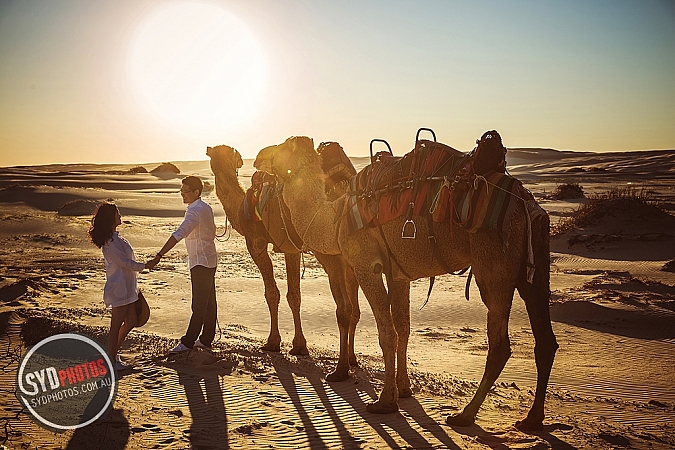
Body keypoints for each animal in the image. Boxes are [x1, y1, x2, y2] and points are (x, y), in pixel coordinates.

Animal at [207, 145, 362, 376]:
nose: (240, 160)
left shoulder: (256, 242)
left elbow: (273, 293)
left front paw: (274, 342)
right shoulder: (291, 248)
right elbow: (294, 295)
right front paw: (299, 345)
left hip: (329, 251)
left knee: (346, 306)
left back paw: (341, 369)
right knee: (356, 308)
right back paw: (351, 359)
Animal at [254, 135, 560, 430]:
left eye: (282, 147)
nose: (258, 158)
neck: (335, 217)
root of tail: (527, 203)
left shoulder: (366, 265)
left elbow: (386, 332)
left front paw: (385, 401)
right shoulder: (398, 274)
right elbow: (403, 329)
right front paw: (403, 389)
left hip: (493, 264)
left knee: (499, 344)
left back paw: (464, 415)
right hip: (533, 263)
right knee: (545, 339)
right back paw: (531, 419)